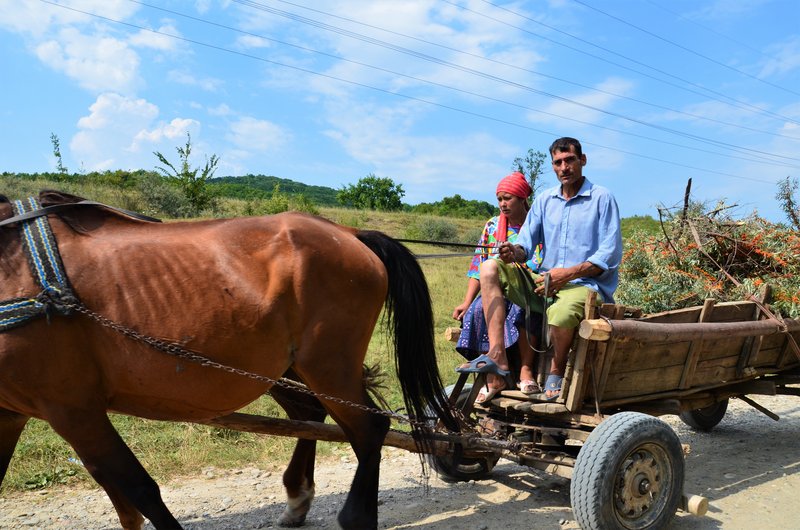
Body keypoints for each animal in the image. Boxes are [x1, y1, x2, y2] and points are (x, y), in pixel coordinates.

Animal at [0, 190, 456, 528]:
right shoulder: (17, 413)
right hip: (286, 367)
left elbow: (140, 488)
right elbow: (123, 498)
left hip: (328, 365)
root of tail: (349, 232)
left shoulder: (72, 408)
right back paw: (298, 498)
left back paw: (355, 517)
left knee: (368, 430)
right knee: (312, 415)